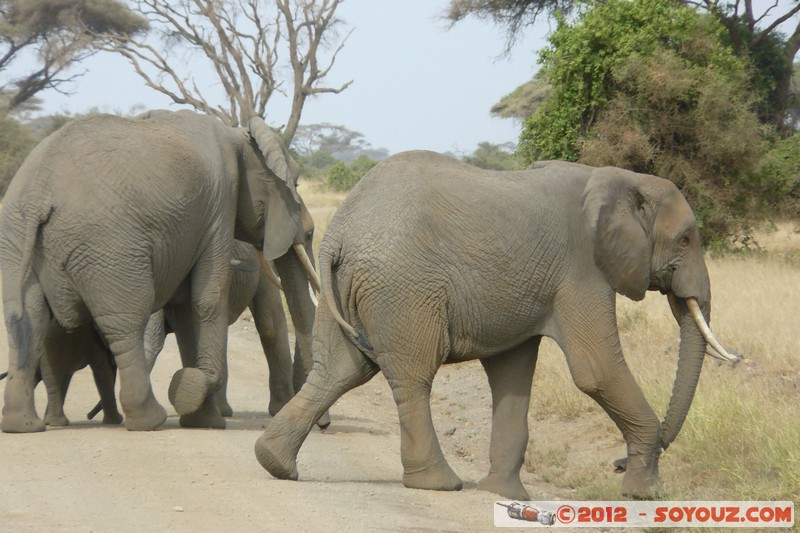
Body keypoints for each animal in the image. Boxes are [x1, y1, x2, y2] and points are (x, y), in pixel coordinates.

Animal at [0, 108, 318, 432]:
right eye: (295, 184)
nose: (323, 424)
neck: (236, 135)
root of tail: (39, 195)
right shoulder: (220, 206)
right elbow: (208, 300)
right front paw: (198, 401)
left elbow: (188, 312)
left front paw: (200, 417)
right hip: (109, 248)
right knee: (126, 323)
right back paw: (148, 419)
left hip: (16, 237)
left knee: (25, 324)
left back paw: (23, 425)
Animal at [255, 151, 736, 498]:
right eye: (686, 239)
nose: (615, 463)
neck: (623, 178)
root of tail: (340, 234)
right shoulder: (583, 270)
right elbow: (595, 370)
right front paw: (645, 494)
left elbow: (513, 374)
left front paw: (506, 495)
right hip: (403, 289)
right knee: (411, 376)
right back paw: (439, 484)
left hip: (348, 288)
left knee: (340, 370)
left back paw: (273, 462)